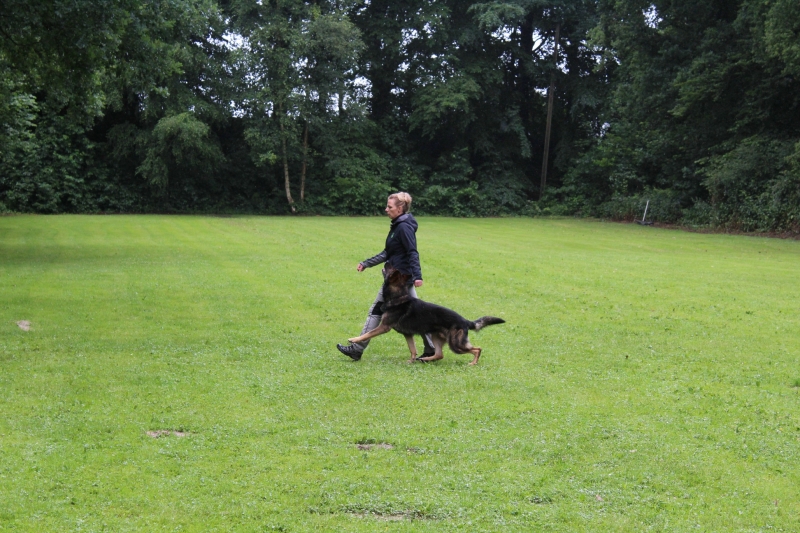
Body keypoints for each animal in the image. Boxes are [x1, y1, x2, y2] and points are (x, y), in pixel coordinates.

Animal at [347, 266, 505, 365]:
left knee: (477, 349)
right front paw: (411, 361)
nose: (387, 262)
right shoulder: (408, 334)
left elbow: (367, 334)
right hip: (436, 337)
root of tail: (465, 321)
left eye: (391, 269)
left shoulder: (384, 327)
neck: (397, 295)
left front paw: (354, 339)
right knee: (440, 354)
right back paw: (424, 360)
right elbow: (413, 349)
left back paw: (472, 363)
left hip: (456, 344)